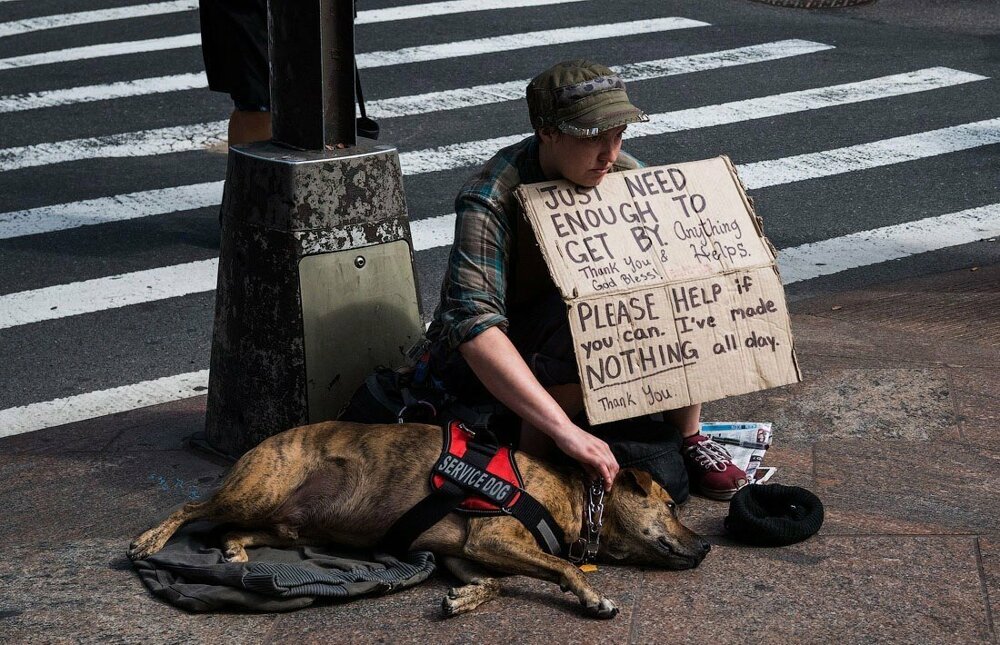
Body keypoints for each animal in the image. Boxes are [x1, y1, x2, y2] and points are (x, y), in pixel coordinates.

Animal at [129, 420, 712, 616]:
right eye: (672, 507)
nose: (707, 546)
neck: (574, 499)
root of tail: (263, 443)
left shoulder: (464, 552)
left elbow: (495, 584)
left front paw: (465, 598)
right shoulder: (491, 538)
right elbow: (564, 567)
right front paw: (593, 598)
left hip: (284, 520)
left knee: (232, 530)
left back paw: (233, 551)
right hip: (259, 488)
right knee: (192, 508)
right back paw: (148, 540)